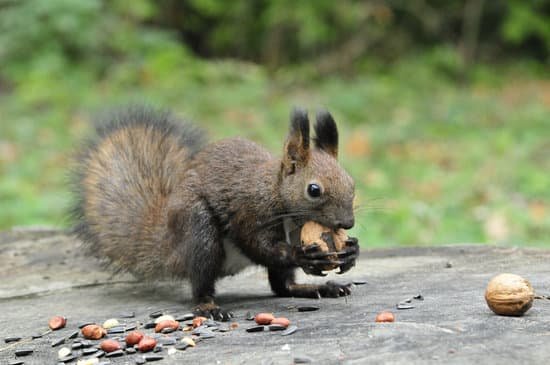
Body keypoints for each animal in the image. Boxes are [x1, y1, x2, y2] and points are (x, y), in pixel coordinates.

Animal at [71, 104, 360, 318]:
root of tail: (169, 246)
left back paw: (314, 288)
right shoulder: (250, 212)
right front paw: (303, 255)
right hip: (199, 231)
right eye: (314, 190)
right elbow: (259, 245)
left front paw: (351, 251)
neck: (277, 193)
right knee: (202, 282)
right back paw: (209, 306)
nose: (348, 223)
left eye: (352, 183)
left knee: (282, 286)